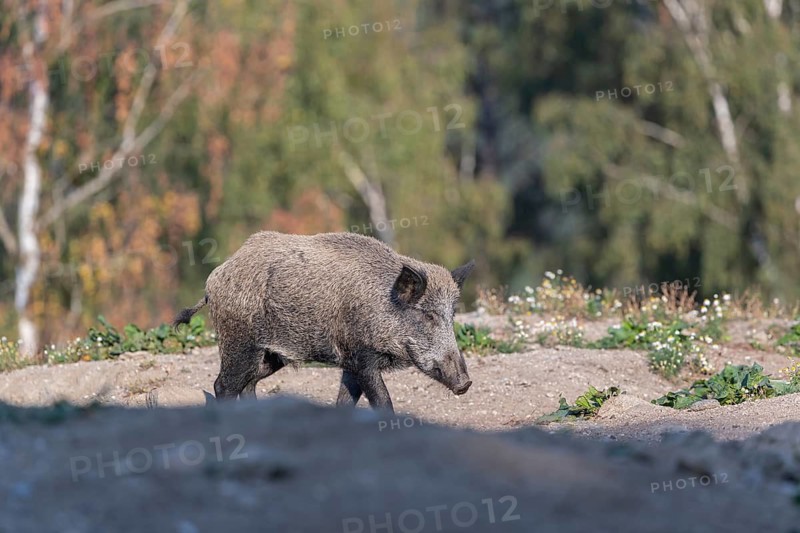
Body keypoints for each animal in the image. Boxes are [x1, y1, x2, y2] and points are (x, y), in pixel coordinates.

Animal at [173, 231, 475, 412]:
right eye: (428, 314)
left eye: (452, 314)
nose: (465, 383)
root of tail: (214, 279)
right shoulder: (361, 357)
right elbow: (382, 399)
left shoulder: (350, 364)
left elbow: (345, 400)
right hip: (239, 342)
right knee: (223, 385)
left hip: (271, 355)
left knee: (249, 383)